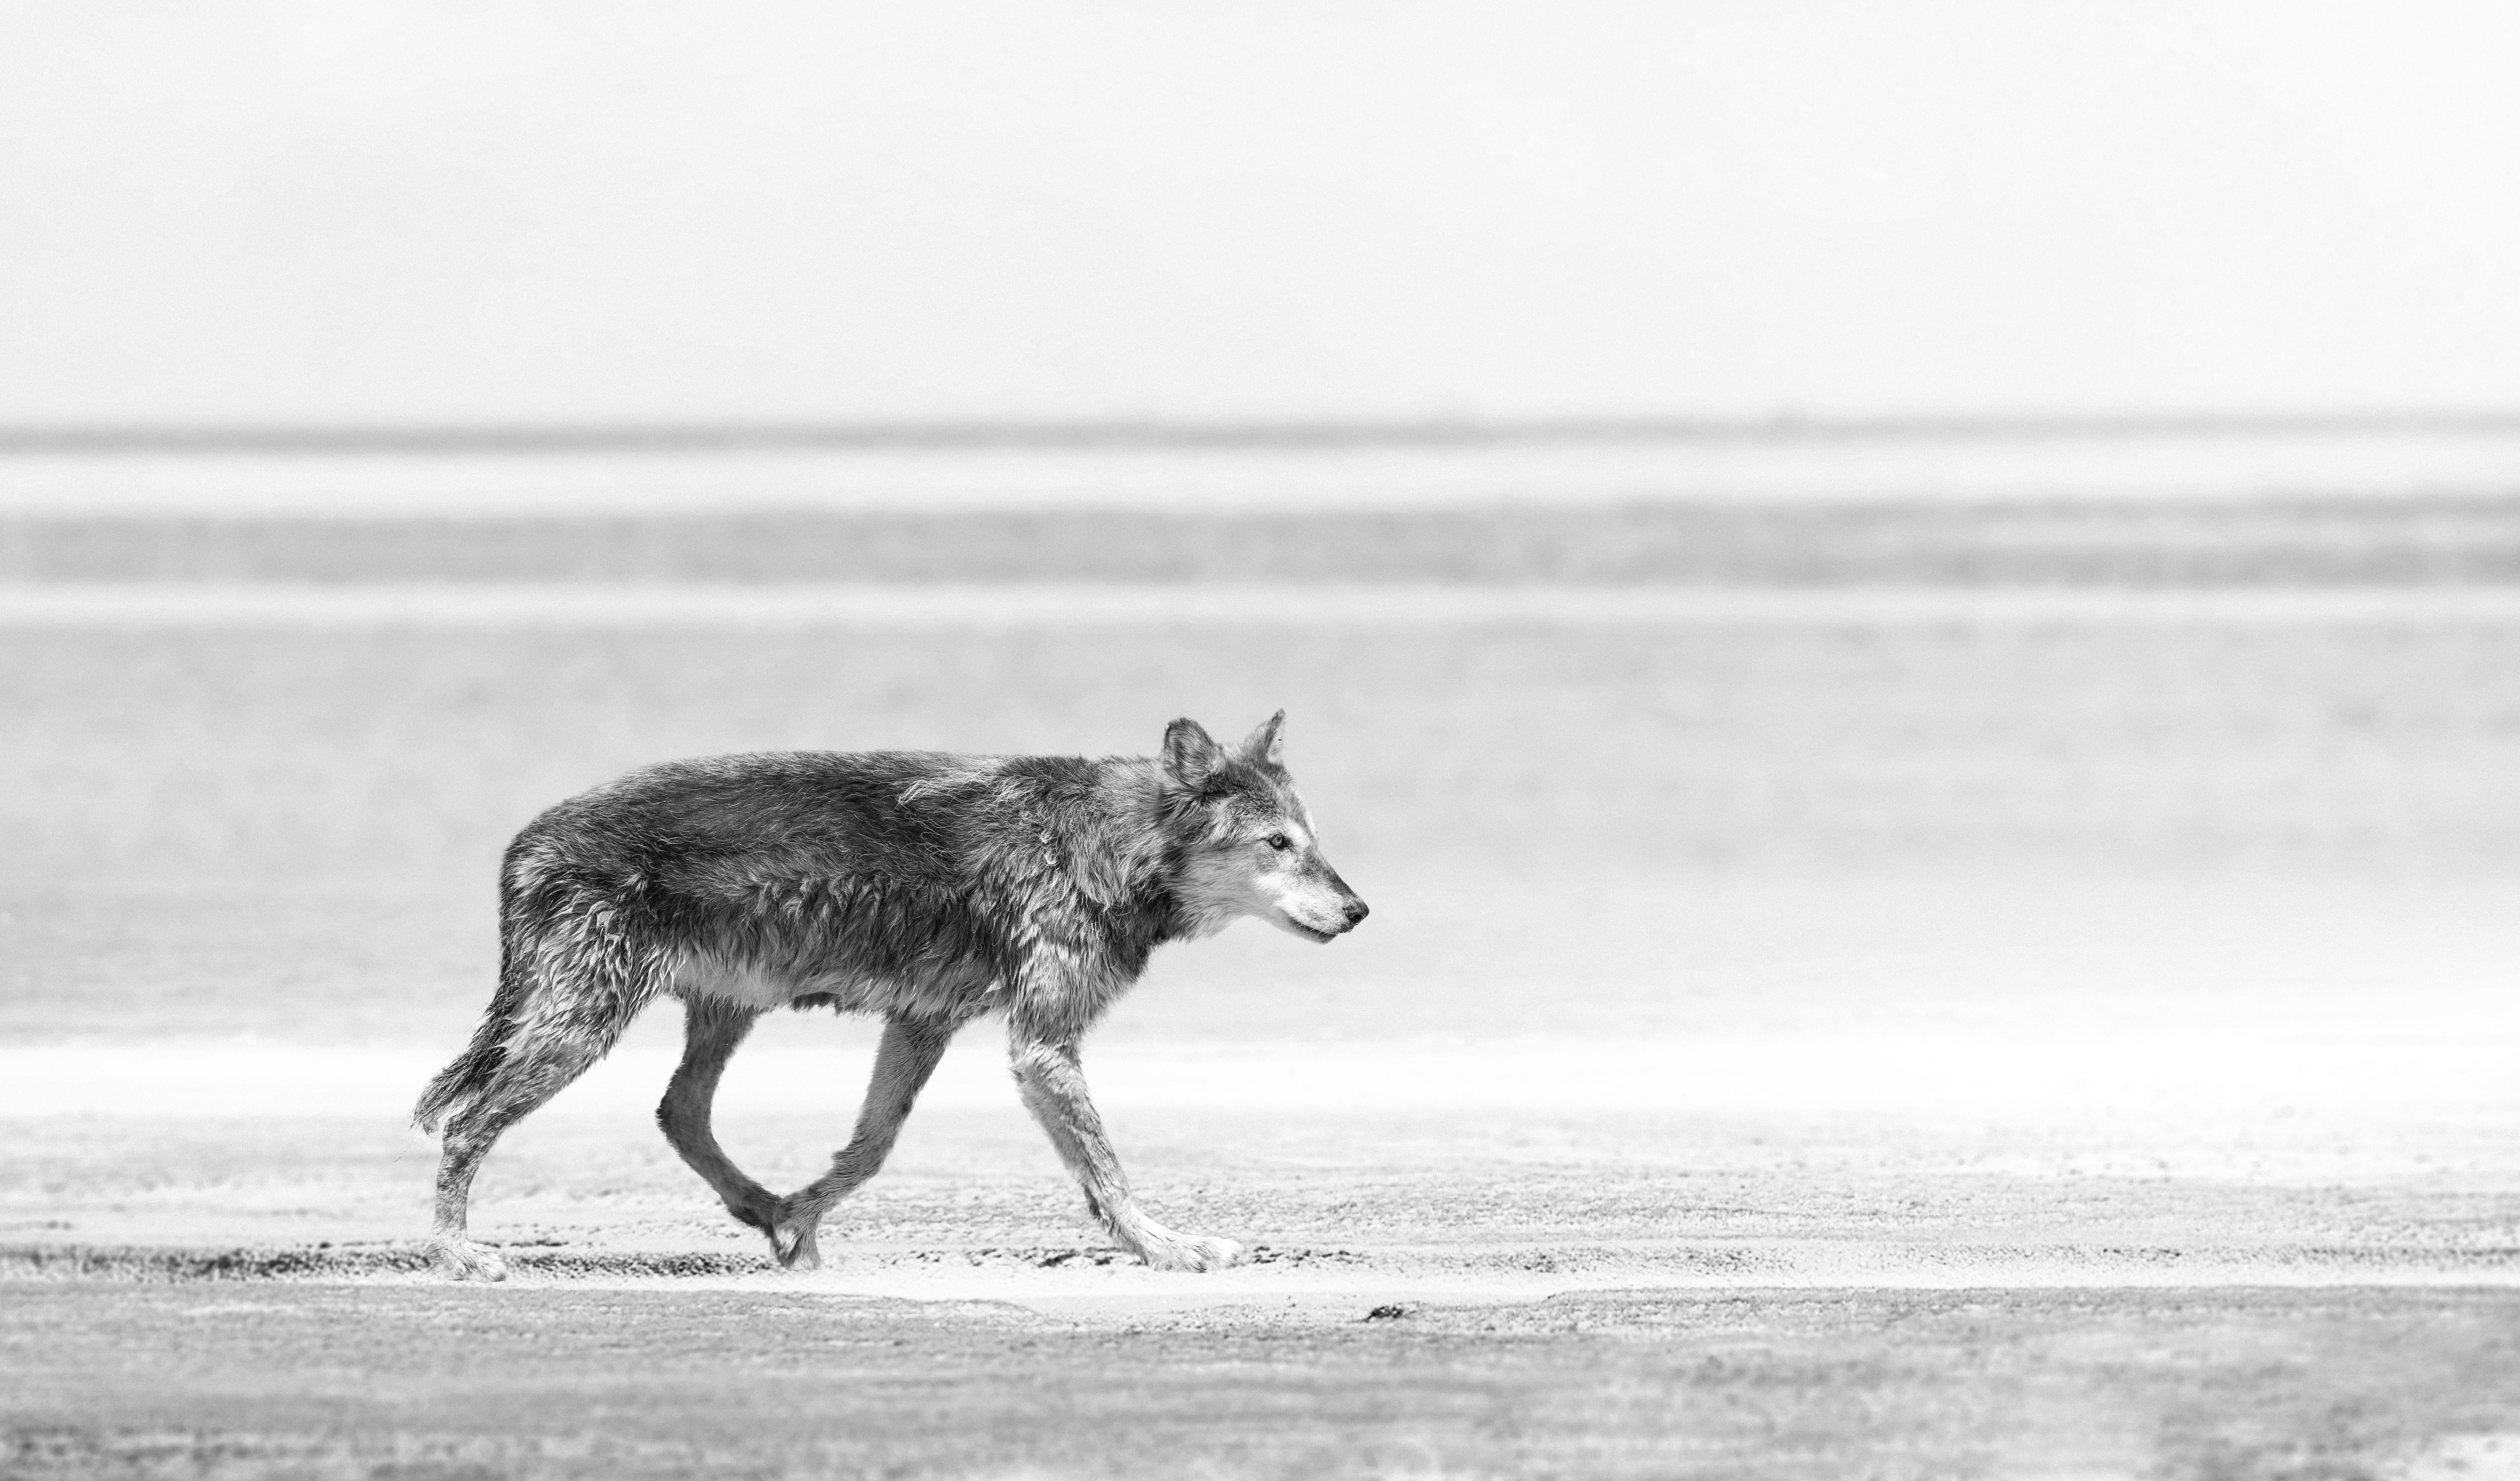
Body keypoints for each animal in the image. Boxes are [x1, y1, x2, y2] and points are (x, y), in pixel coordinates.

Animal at [411, 712, 1367, 1280]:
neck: (1101, 846)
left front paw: (797, 1221)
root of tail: (524, 841)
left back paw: (759, 1205)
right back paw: (459, 1253)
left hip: (719, 1012)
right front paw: (1171, 1247)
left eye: (1313, 840)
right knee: (467, 1124)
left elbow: (872, 1146)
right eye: (1276, 843)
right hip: (581, 1027)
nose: (1360, 910)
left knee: (677, 1110)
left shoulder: (924, 1021)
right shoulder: (1041, 1046)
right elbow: (1108, 1172)